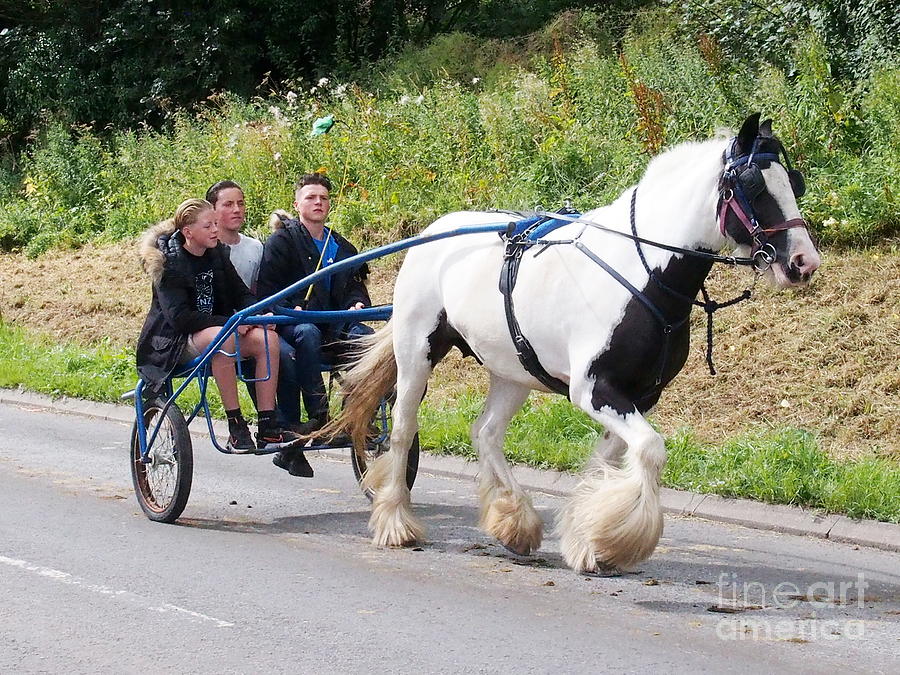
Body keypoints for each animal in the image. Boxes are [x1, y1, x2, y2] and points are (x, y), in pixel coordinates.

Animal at [334, 113, 820, 572]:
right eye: (752, 185)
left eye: (793, 181)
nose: (804, 262)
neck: (642, 269)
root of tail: (434, 231)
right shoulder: (592, 389)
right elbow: (649, 450)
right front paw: (613, 541)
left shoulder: (640, 395)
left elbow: (608, 461)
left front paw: (589, 539)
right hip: (416, 352)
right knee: (402, 430)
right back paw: (395, 521)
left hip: (512, 371)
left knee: (486, 433)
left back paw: (515, 523)